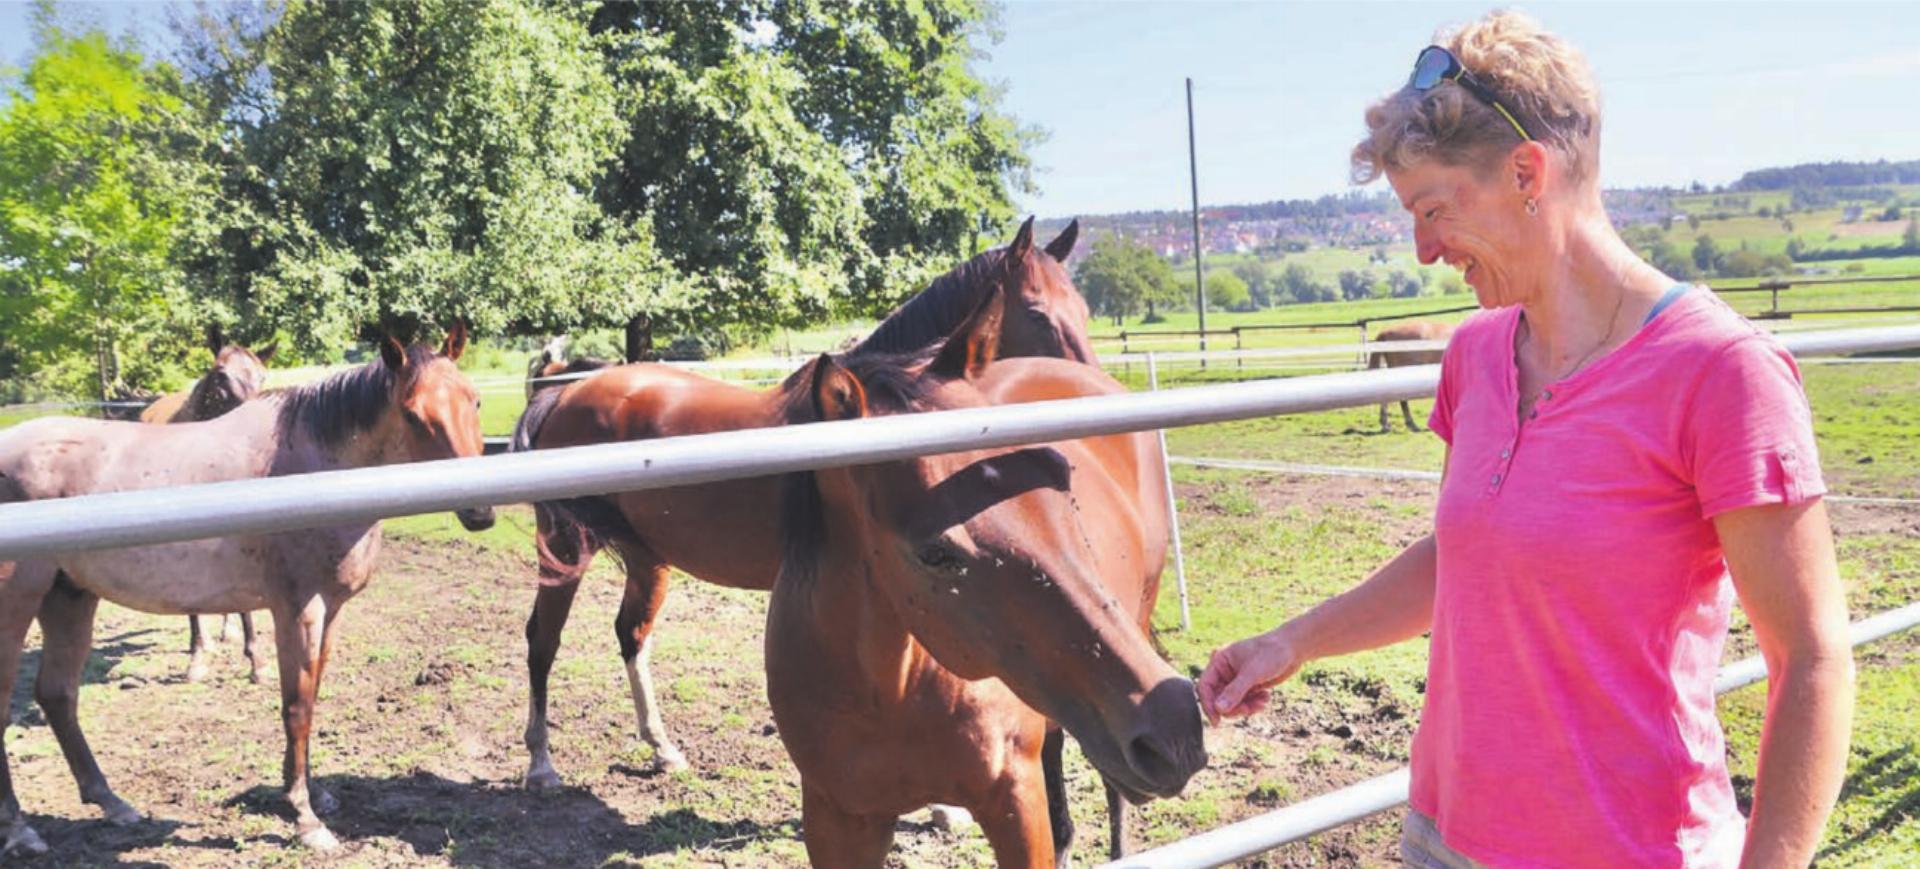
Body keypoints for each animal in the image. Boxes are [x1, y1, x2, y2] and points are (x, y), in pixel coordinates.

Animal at [510, 218, 1090, 786]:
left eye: (1084, 309)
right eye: (1036, 311)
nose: (1088, 388)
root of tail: (565, 391)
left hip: (648, 558)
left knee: (631, 634)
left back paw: (662, 749)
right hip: (565, 550)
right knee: (543, 639)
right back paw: (541, 763)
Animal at [760, 276, 1198, 859]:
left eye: (1064, 485)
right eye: (935, 553)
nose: (1177, 728)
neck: (888, 693)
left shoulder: (1014, 803)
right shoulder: (838, 819)